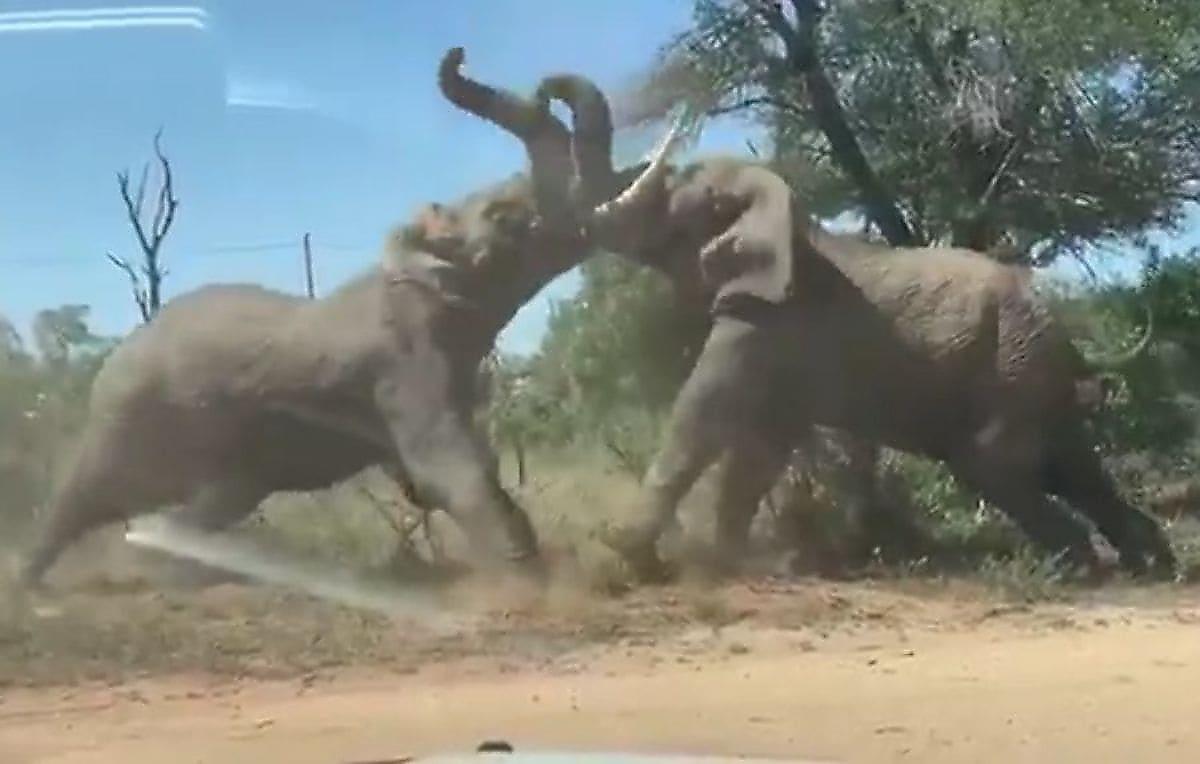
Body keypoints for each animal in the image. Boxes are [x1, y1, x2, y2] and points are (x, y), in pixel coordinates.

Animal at [16, 47, 667, 582]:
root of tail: (112, 363)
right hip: (132, 424)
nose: (543, 84)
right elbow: (447, 466)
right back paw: (34, 585)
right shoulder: (403, 369)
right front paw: (538, 582)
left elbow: (439, 472)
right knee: (86, 494)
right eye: (507, 217)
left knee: (199, 511)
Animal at [537, 86, 1180, 580]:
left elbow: (703, 411)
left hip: (1010, 375)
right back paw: (1150, 568)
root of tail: (1070, 342)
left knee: (995, 469)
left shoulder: (765, 319)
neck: (776, 205)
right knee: (1072, 471)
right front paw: (730, 563)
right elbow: (761, 446)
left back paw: (1077, 573)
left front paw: (624, 553)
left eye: (675, 193)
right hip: (1030, 377)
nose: (547, 92)